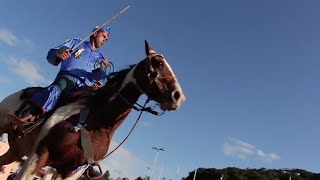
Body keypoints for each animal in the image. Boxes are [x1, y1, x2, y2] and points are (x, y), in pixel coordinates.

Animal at [0, 40, 185, 179]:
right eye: (159, 63)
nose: (179, 96)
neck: (94, 124)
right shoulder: (37, 156)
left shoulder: (72, 171)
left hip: (15, 152)